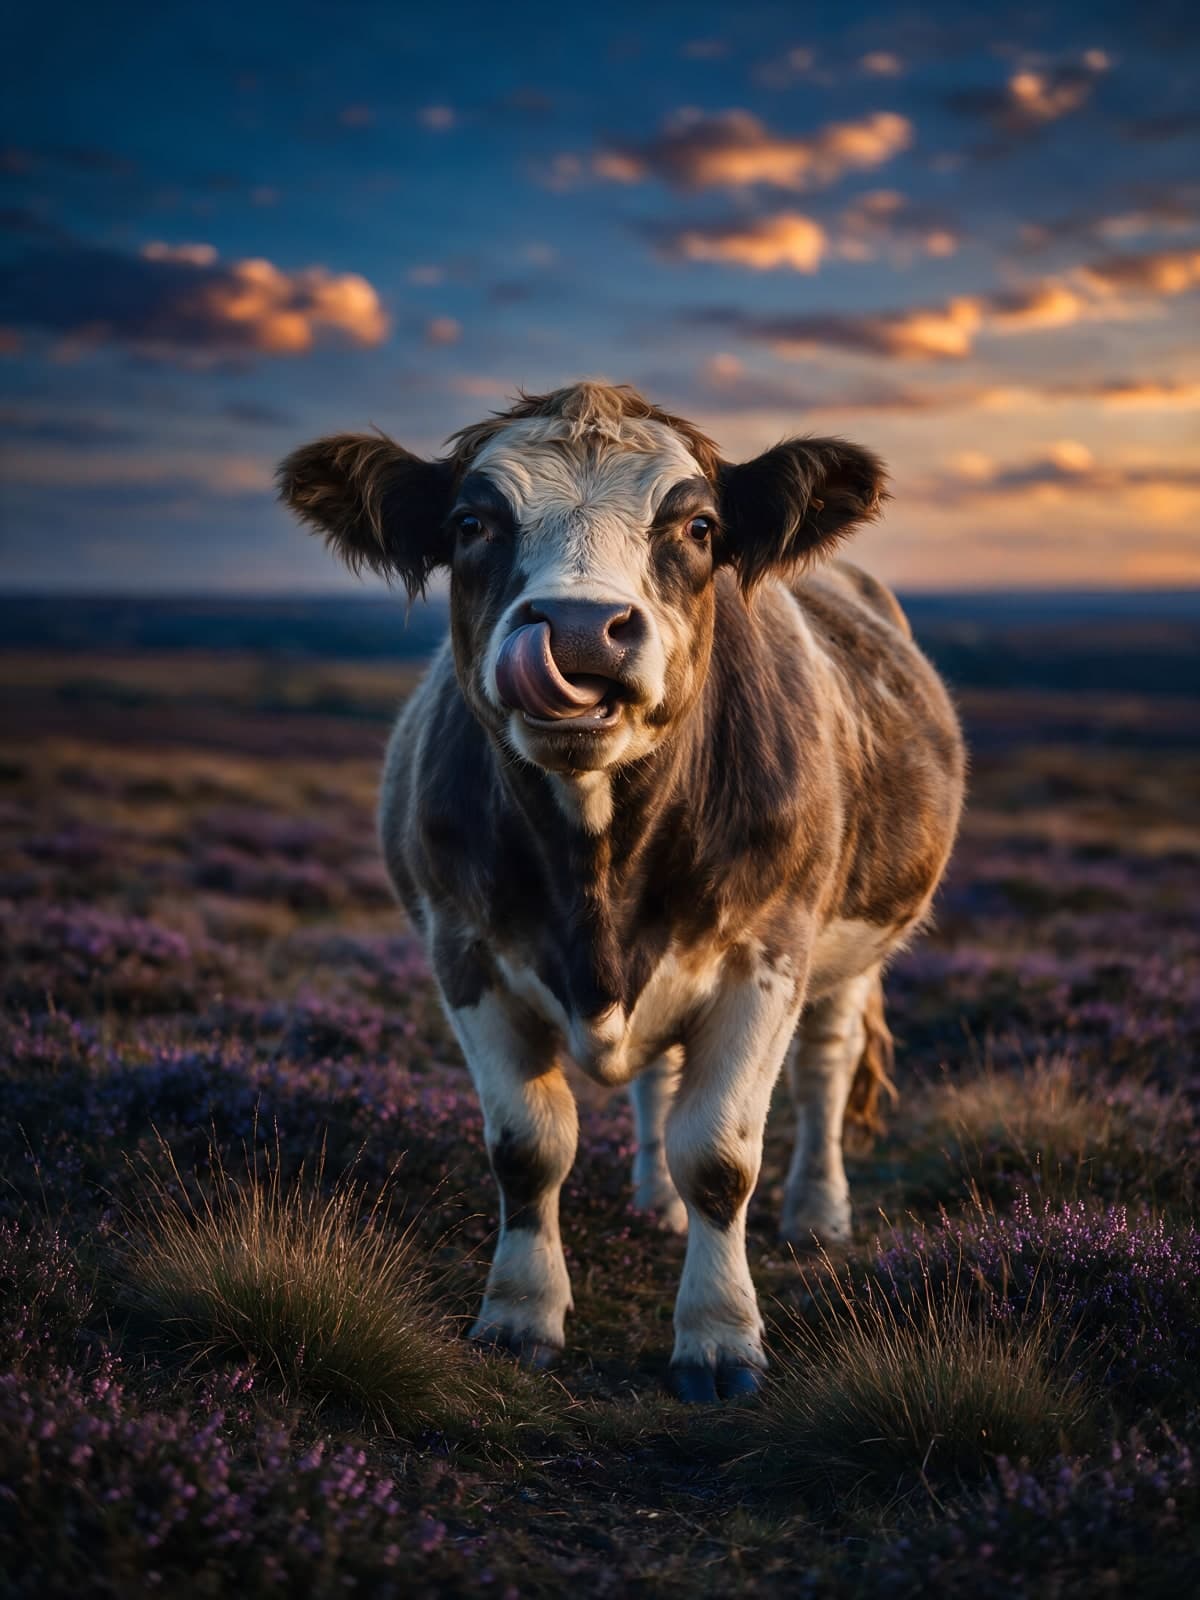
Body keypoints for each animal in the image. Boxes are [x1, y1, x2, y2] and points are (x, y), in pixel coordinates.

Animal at [278, 381, 965, 1402]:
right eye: (472, 522)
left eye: (699, 525)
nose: (574, 628)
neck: (599, 869)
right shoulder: (464, 952)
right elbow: (530, 1147)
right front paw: (520, 1314)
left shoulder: (767, 956)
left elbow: (720, 1153)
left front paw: (719, 1337)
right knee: (659, 1082)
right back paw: (654, 1204)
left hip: (848, 951)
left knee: (825, 1066)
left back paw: (817, 1213)